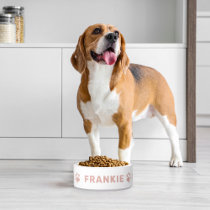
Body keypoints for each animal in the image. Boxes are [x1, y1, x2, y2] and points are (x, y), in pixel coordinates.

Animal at [70, 23, 182, 167]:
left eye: (117, 32)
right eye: (97, 30)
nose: (113, 36)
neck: (101, 76)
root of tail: (157, 72)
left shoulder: (123, 123)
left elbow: (122, 149)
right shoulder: (89, 122)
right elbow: (95, 147)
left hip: (166, 115)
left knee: (174, 137)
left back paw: (176, 159)